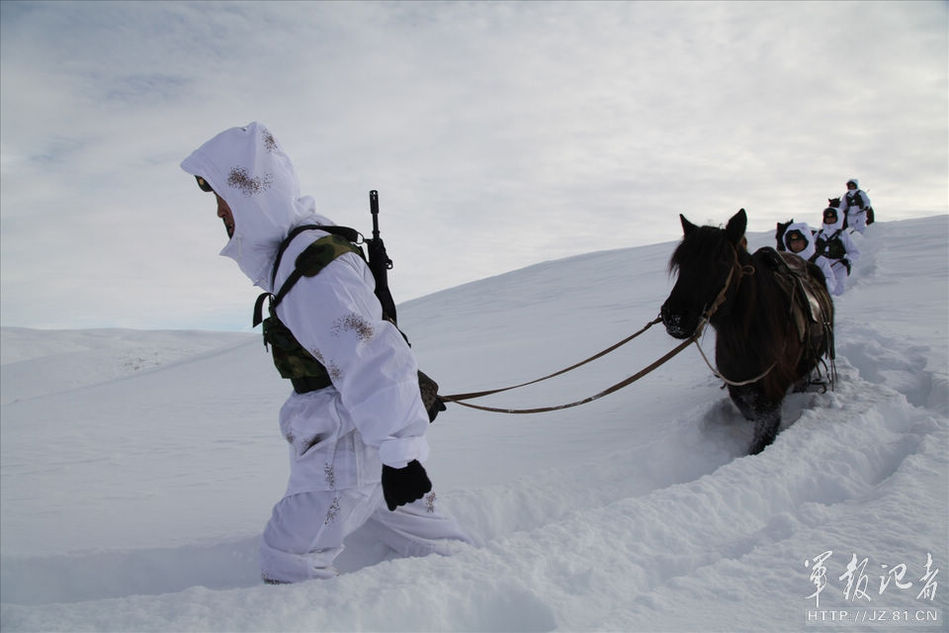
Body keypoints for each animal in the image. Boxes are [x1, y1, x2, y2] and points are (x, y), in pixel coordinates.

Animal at [664, 210, 832, 452]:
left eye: (723, 262)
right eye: (681, 262)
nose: (674, 317)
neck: (745, 339)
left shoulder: (770, 397)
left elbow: (763, 436)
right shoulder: (739, 388)